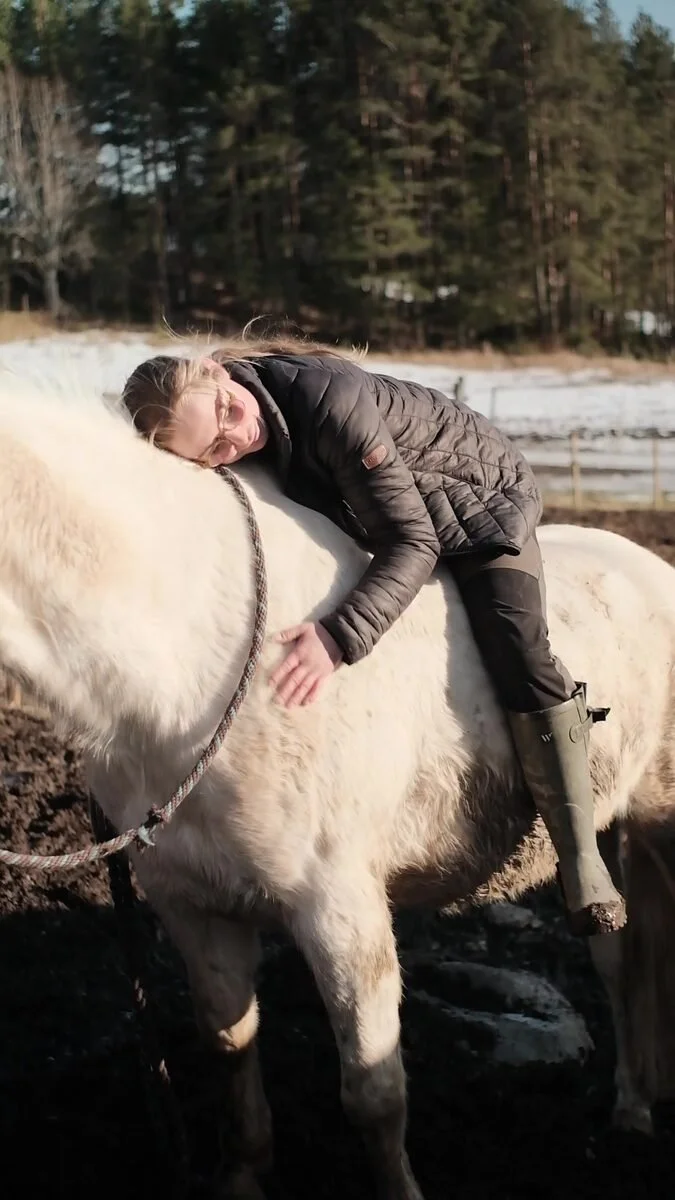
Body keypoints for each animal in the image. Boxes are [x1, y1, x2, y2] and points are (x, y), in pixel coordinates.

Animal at [0, 372, 674, 1200]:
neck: (188, 666)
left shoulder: (339, 909)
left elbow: (373, 1094)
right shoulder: (192, 906)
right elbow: (231, 1047)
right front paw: (242, 1178)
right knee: (620, 958)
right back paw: (632, 1106)